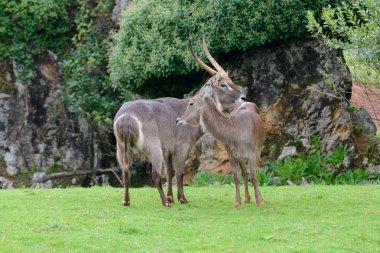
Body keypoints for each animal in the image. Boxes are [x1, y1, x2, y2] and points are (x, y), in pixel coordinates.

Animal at [113, 37, 245, 208]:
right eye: (223, 85)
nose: (243, 97)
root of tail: (127, 117)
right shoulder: (182, 147)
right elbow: (179, 172)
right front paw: (181, 199)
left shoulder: (167, 150)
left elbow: (170, 172)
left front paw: (171, 197)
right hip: (153, 148)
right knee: (155, 174)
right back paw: (164, 203)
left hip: (121, 148)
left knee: (126, 172)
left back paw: (127, 200)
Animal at [177, 74, 266, 209]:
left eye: (191, 103)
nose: (178, 120)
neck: (235, 132)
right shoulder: (232, 154)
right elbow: (236, 177)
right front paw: (237, 203)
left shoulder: (251, 152)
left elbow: (255, 176)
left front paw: (260, 202)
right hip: (241, 156)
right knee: (244, 173)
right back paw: (247, 199)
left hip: (259, 148)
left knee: (253, 172)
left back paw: (260, 198)